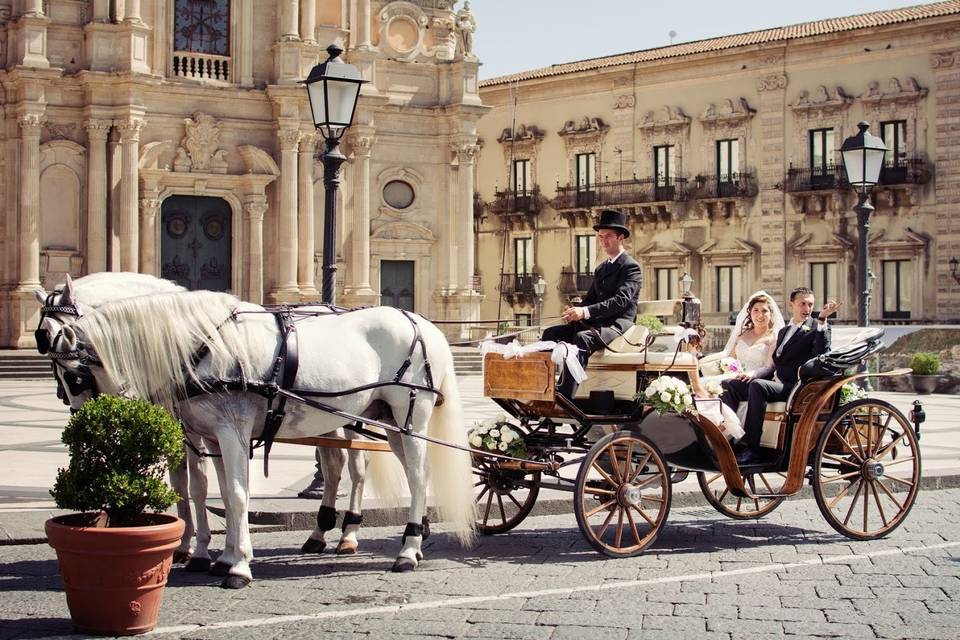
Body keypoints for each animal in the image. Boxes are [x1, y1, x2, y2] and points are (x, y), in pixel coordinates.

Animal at [55, 288, 472, 588]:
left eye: (74, 377)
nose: (85, 428)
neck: (203, 344)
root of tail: (423, 324)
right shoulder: (211, 437)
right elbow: (220, 494)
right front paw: (222, 557)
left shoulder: (232, 431)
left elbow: (238, 496)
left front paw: (238, 567)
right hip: (386, 422)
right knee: (396, 471)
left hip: (410, 417)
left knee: (413, 476)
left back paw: (407, 550)